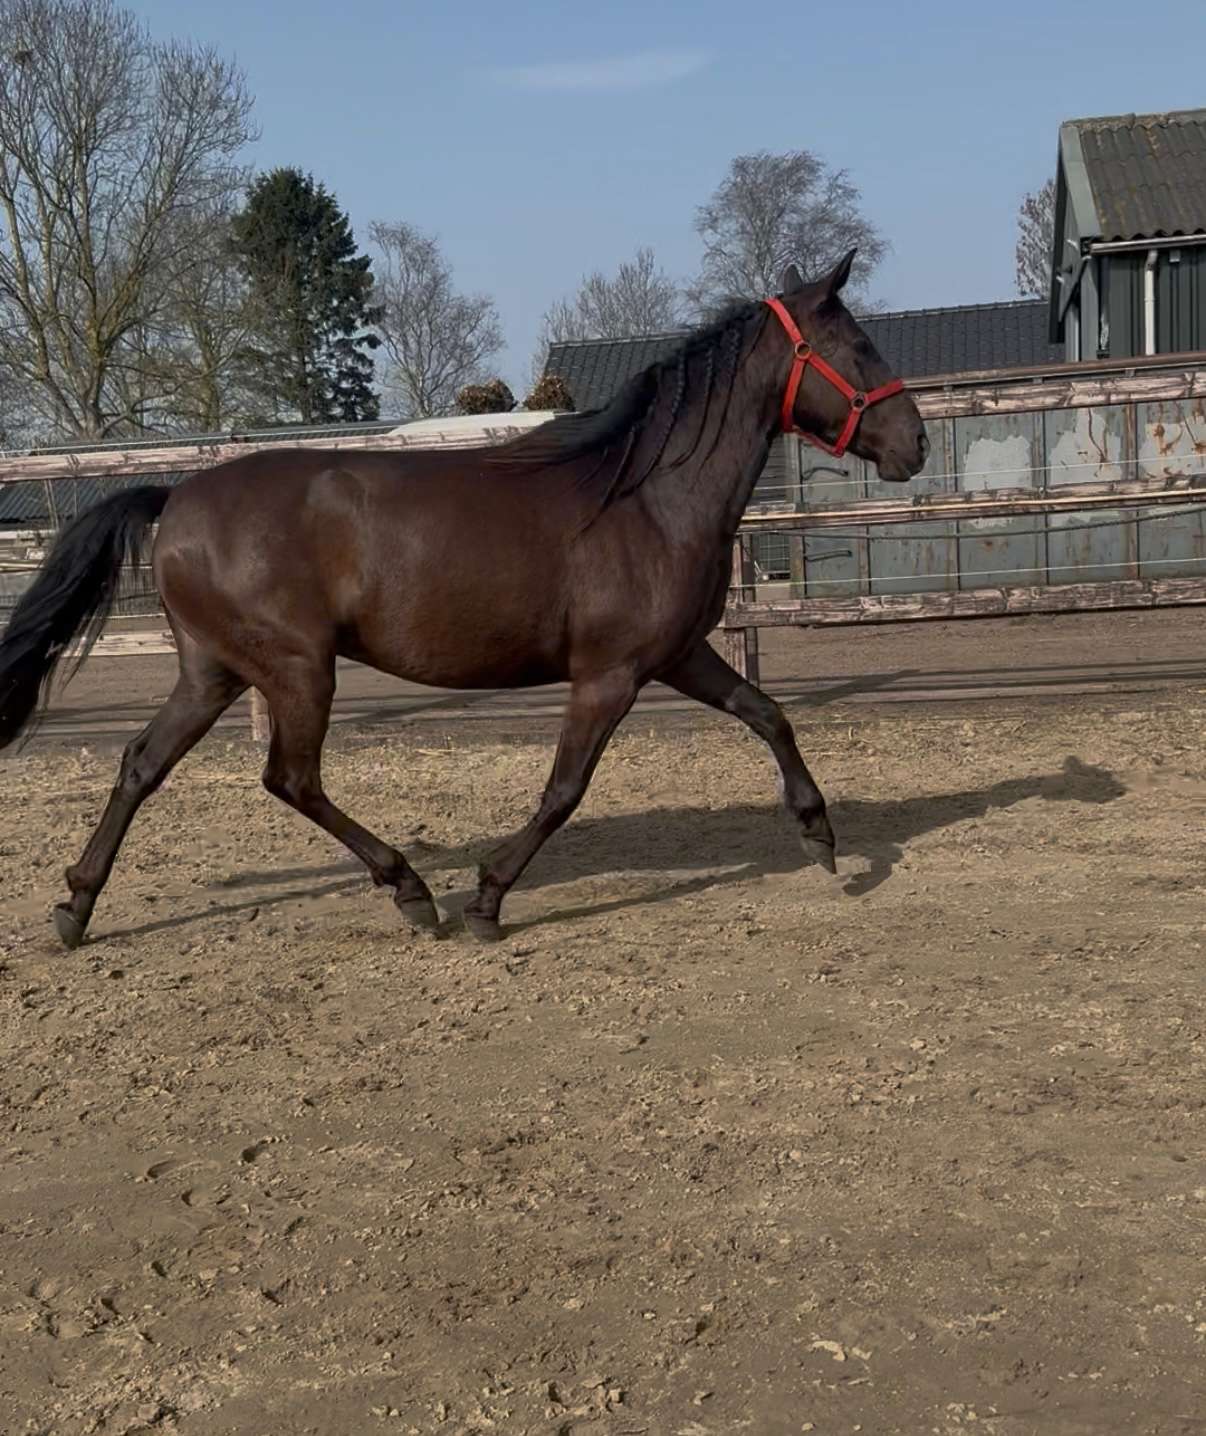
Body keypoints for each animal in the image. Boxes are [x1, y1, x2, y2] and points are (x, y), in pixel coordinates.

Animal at [0, 250, 928, 948]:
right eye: (857, 346)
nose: (915, 443)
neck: (646, 496)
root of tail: (176, 497)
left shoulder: (678, 656)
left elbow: (769, 714)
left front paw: (820, 833)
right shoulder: (610, 676)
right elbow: (564, 790)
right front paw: (486, 898)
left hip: (213, 670)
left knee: (142, 764)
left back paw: (75, 905)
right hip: (296, 669)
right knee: (289, 777)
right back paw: (412, 890)